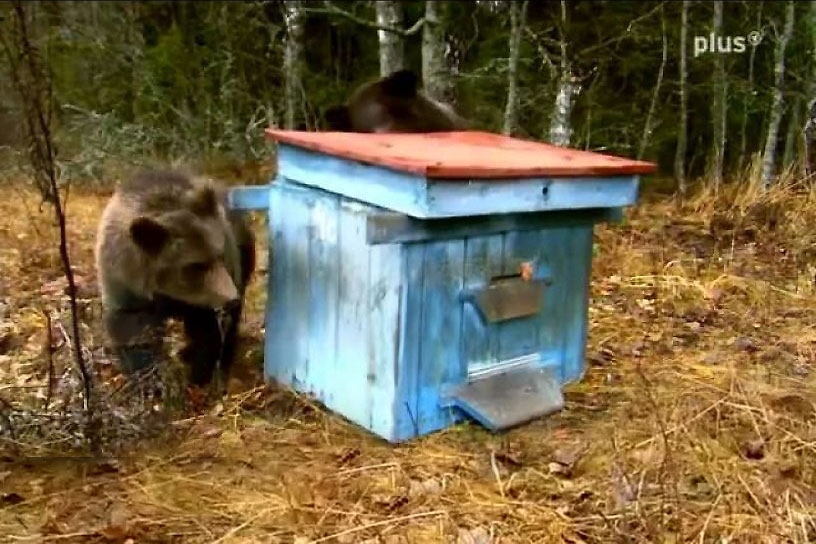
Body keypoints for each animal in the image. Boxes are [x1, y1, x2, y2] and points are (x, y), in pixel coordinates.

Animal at [94, 168, 255, 392]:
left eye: (220, 254)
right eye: (196, 265)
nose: (231, 299)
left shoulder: (203, 300)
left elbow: (206, 334)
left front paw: (199, 375)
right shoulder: (125, 285)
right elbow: (133, 332)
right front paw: (150, 380)